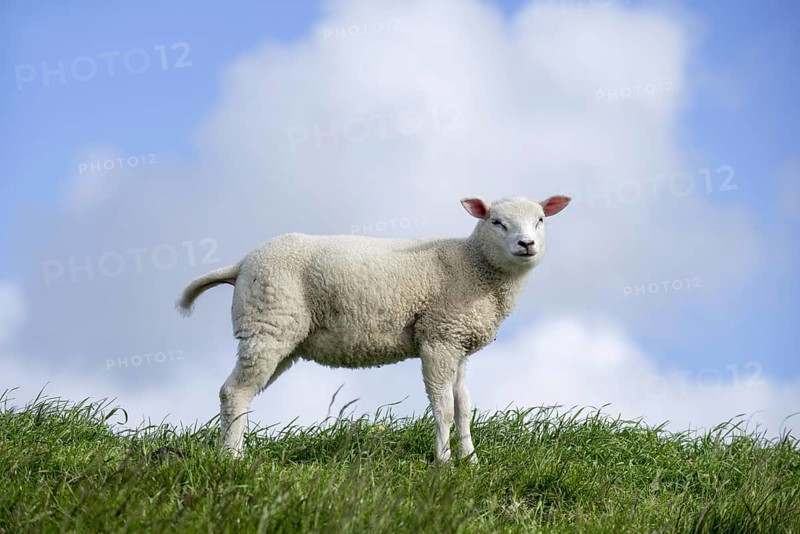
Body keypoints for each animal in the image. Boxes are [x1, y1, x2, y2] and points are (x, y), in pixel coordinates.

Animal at [177, 195, 571, 462]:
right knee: (234, 392)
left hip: (279, 334)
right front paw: (443, 462)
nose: (526, 244)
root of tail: (243, 262)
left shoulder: (458, 342)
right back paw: (232, 458)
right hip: (268, 323)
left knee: (241, 393)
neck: (475, 265)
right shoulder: (438, 337)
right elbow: (442, 405)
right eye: (496, 222)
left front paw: (471, 461)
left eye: (540, 219)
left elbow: (463, 405)